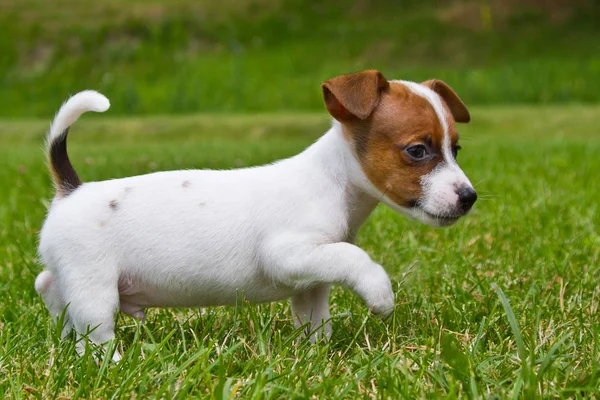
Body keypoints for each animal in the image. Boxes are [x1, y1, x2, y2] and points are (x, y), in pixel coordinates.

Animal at [36, 69, 478, 360]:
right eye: (417, 151)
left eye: (456, 149)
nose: (469, 197)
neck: (332, 182)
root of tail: (71, 190)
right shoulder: (288, 254)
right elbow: (356, 258)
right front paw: (380, 294)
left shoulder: (311, 278)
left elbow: (315, 316)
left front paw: (316, 353)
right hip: (95, 287)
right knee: (94, 331)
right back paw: (110, 362)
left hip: (73, 276)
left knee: (48, 286)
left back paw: (61, 333)